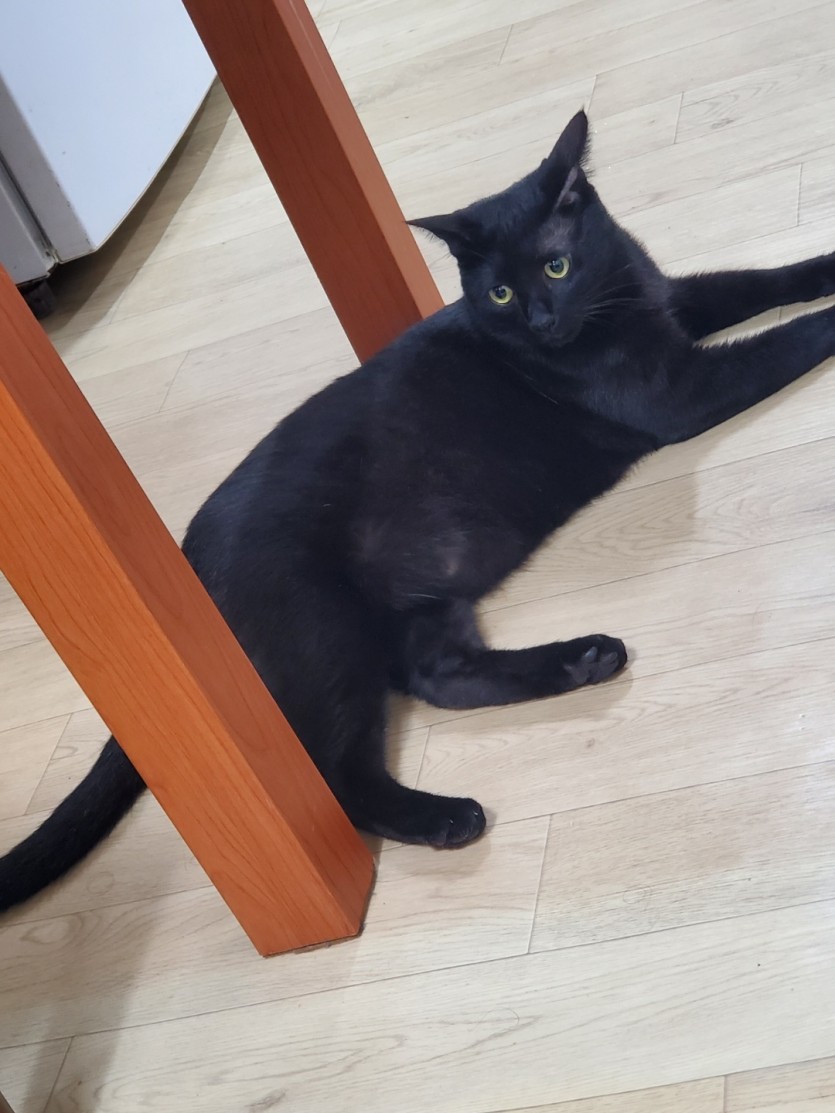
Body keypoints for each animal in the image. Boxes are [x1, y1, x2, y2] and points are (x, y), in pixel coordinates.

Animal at [2, 109, 834, 913]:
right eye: (497, 294)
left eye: (555, 266)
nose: (539, 320)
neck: (612, 302)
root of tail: (182, 559)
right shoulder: (678, 390)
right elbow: (789, 335)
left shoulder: (672, 300)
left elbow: (753, 281)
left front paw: (824, 266)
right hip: (328, 640)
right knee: (346, 776)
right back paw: (446, 814)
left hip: (421, 597)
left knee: (442, 674)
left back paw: (584, 657)